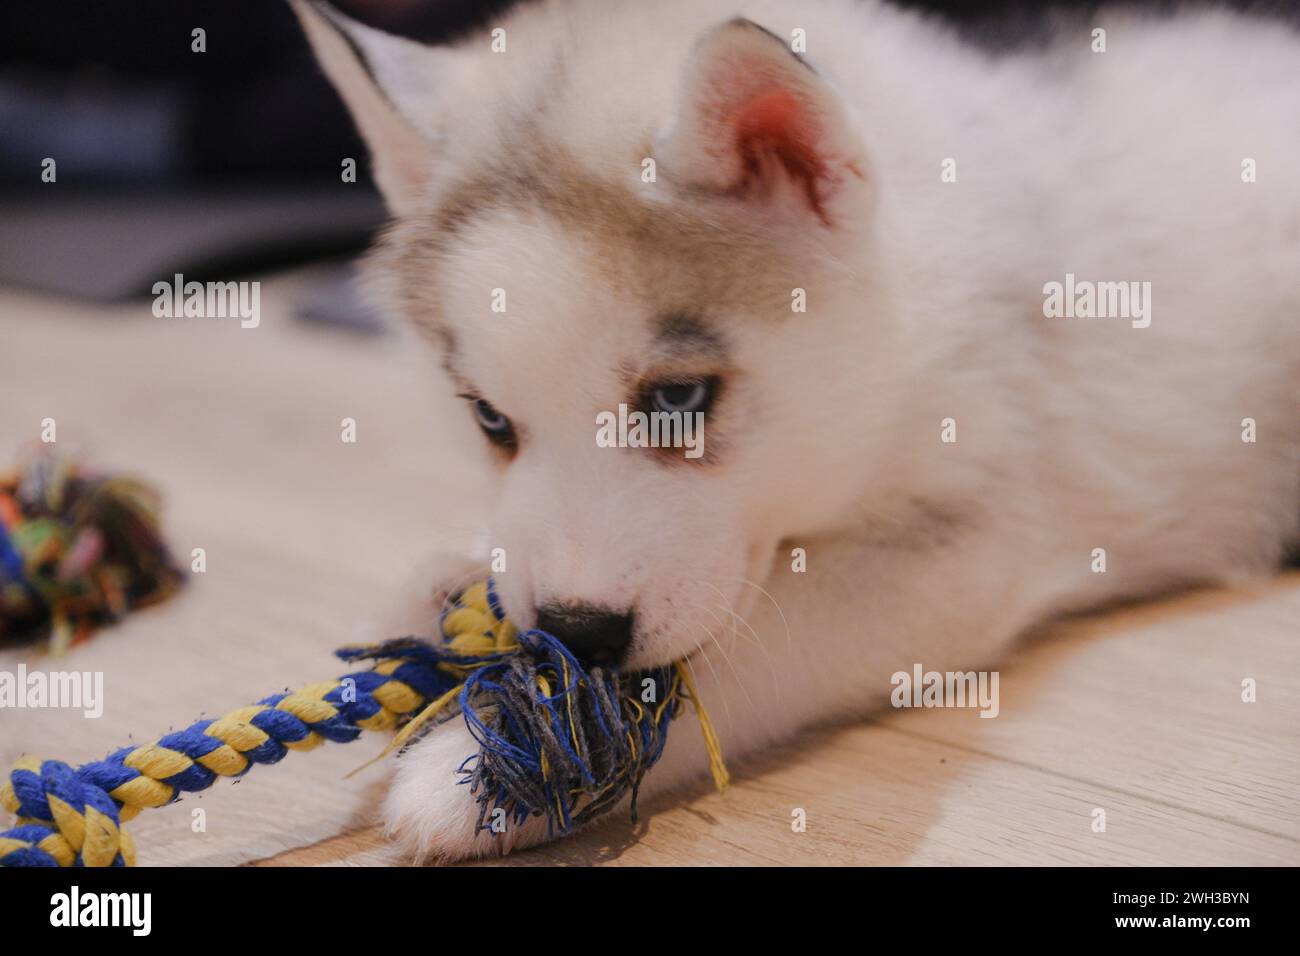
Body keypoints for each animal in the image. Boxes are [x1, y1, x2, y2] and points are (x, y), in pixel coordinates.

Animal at [289, 0, 1294, 863]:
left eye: (680, 397)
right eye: (489, 416)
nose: (578, 635)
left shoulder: (975, 545)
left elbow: (749, 646)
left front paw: (506, 764)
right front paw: (434, 595)